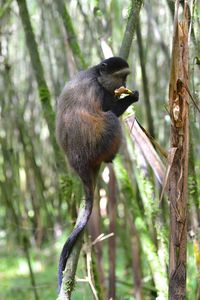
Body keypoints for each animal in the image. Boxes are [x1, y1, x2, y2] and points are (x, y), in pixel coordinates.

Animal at [55, 56, 138, 290]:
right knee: (111, 119)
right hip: (100, 141)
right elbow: (111, 109)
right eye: (121, 76)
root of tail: (78, 162)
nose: (125, 84)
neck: (95, 73)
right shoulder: (99, 91)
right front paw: (132, 97)